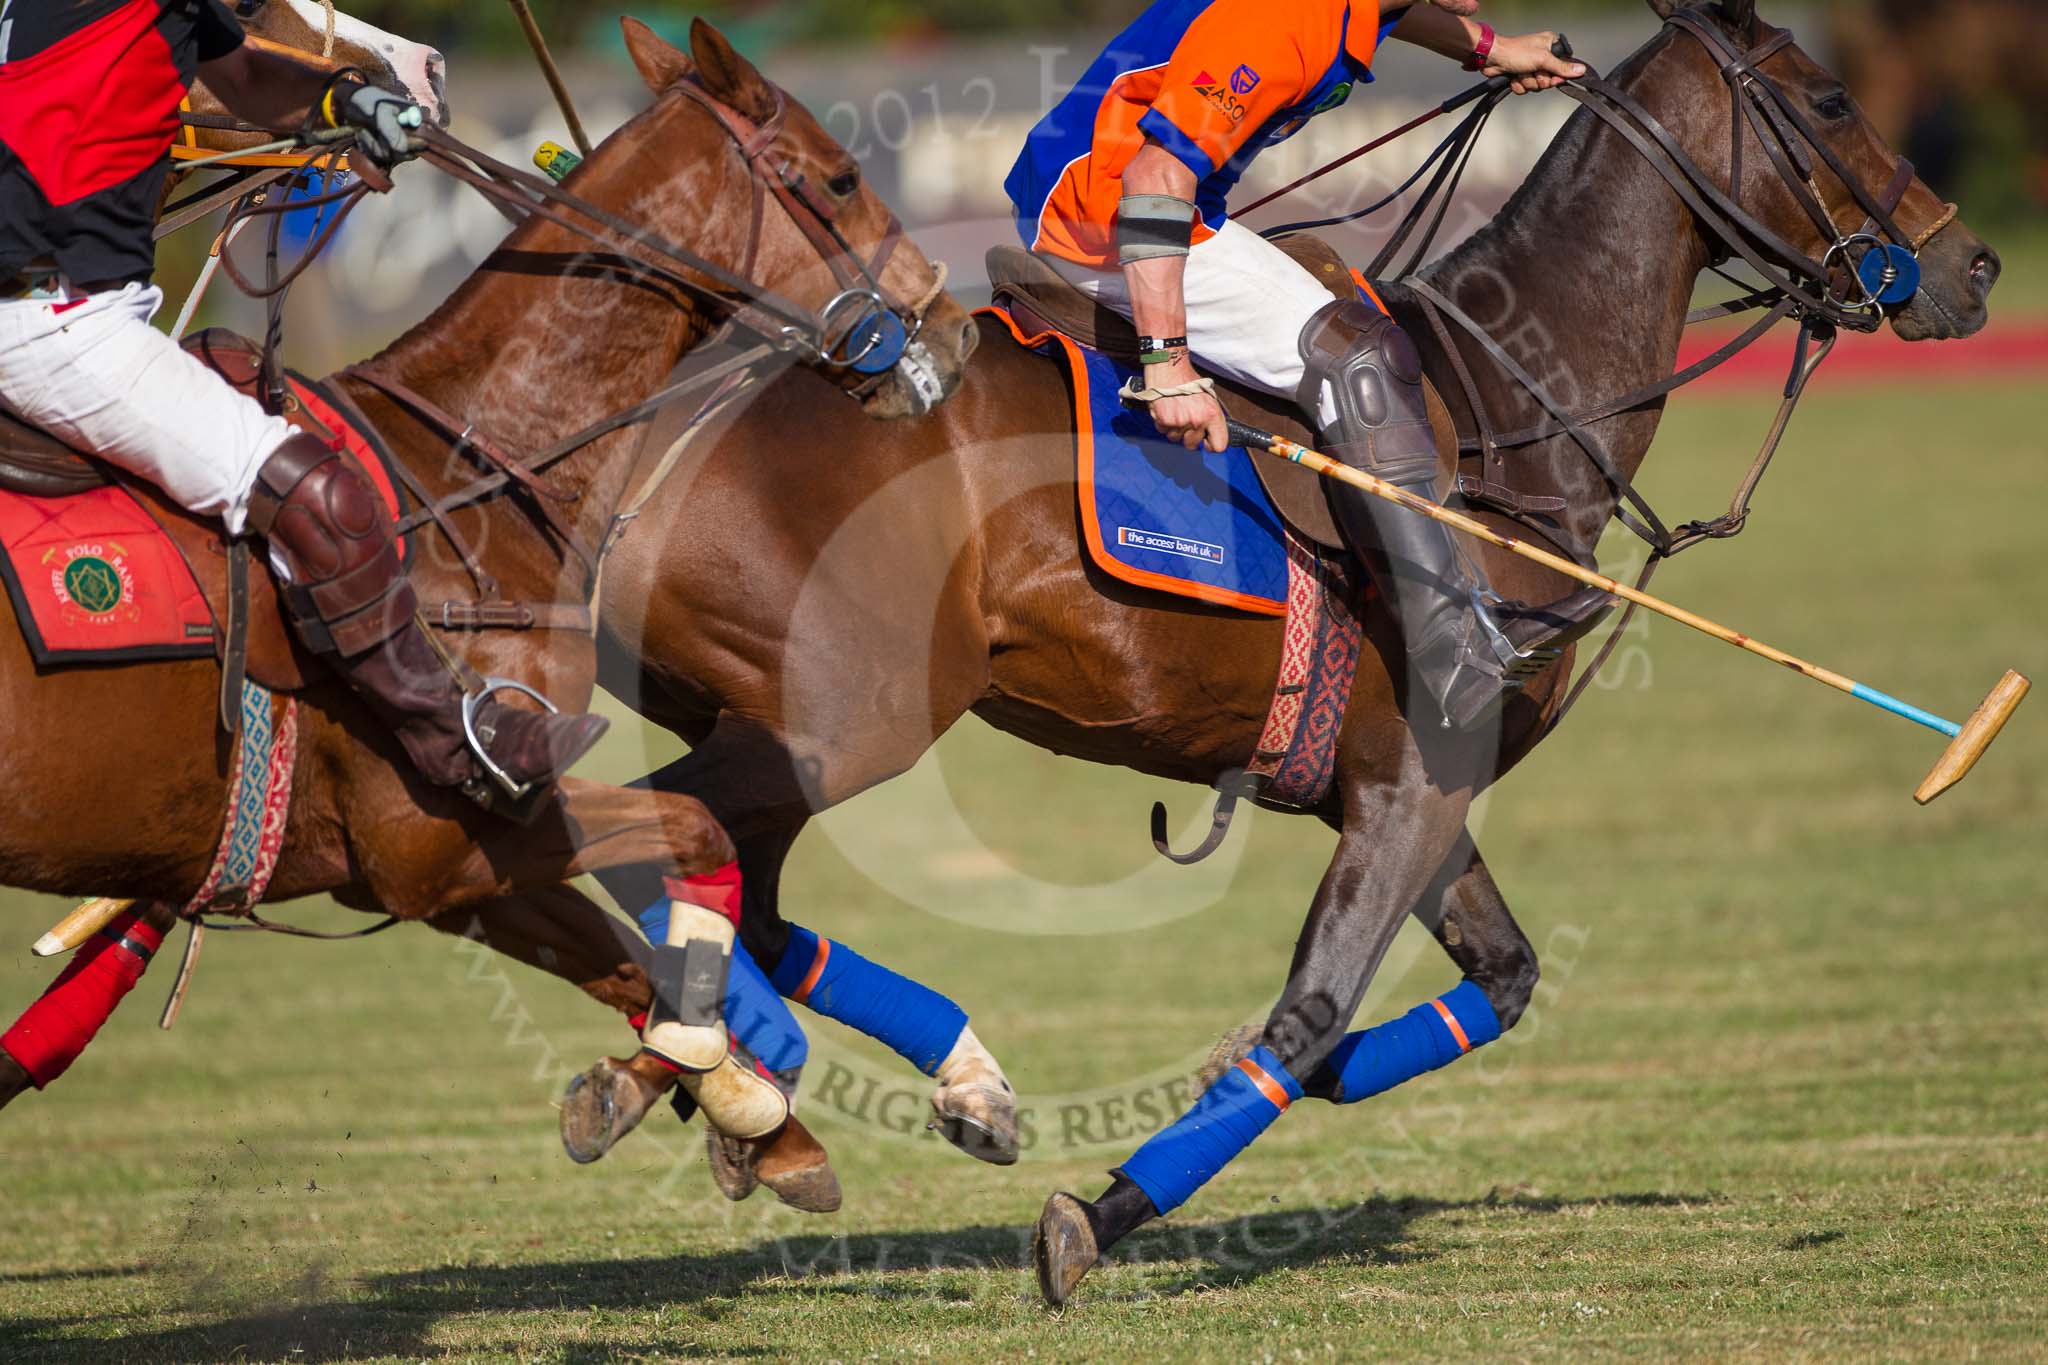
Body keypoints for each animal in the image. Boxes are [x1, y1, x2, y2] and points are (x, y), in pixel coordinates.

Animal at [0, 18, 974, 1162]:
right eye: (840, 174)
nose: (952, 331)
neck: (468, 467)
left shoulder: (431, 870)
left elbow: (622, 949)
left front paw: (748, 1118)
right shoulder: (438, 837)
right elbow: (695, 835)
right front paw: (713, 1082)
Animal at [565, 0, 1998, 1293]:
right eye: (1828, 100)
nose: (1972, 268)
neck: (1507, 412)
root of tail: (669, 422)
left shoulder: (1392, 786)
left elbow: (1492, 980)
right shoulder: (1415, 779)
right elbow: (1308, 1016)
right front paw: (1095, 1216)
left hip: (757, 717)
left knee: (737, 889)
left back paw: (776, 1090)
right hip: (843, 720)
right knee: (647, 836)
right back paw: (726, 1081)